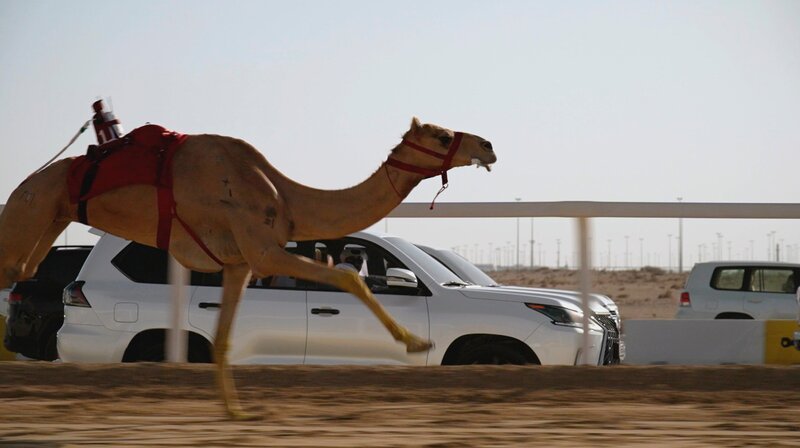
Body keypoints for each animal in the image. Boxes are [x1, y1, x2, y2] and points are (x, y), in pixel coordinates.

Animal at [0, 117, 496, 419]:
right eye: (439, 136)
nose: (488, 145)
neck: (288, 198)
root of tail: (29, 181)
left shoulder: (238, 264)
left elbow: (222, 341)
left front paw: (236, 413)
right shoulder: (263, 251)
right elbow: (346, 276)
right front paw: (416, 341)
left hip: (48, 218)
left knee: (25, 266)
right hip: (32, 209)